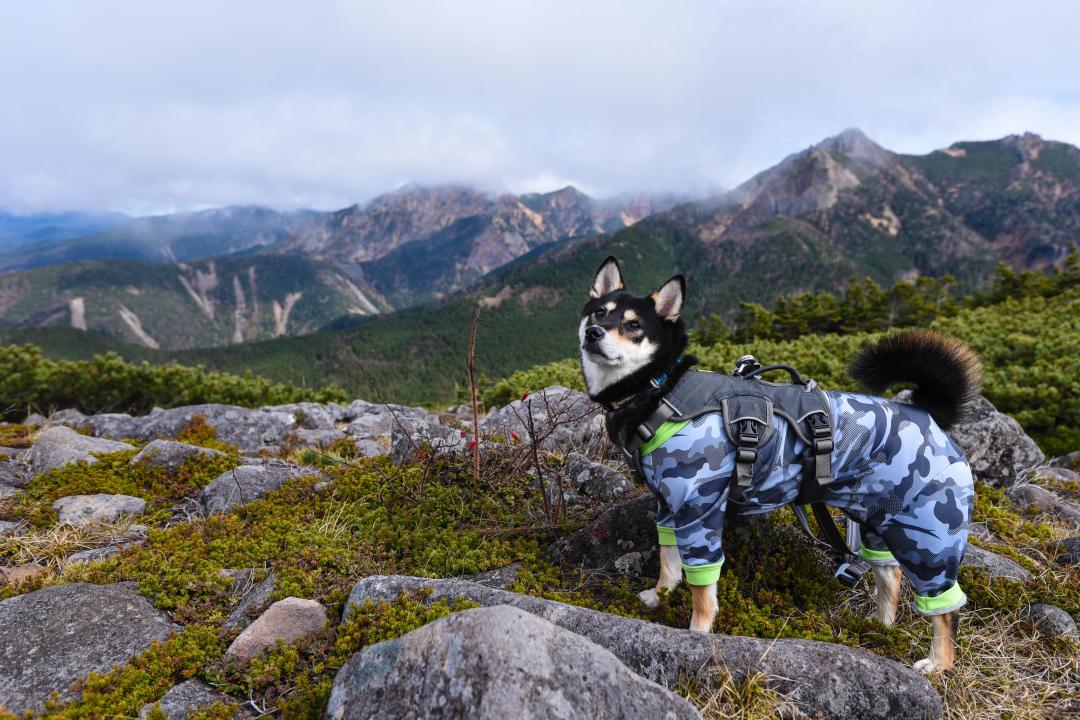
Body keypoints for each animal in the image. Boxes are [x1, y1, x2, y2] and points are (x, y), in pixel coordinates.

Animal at [583, 255, 980, 673]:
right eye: (598, 312)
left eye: (633, 325)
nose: (593, 332)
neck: (659, 390)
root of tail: (928, 413)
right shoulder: (668, 507)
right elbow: (668, 560)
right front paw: (659, 594)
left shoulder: (698, 510)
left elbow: (702, 587)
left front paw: (697, 633)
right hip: (880, 519)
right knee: (889, 575)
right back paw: (880, 628)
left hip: (928, 534)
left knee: (944, 607)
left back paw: (938, 662)